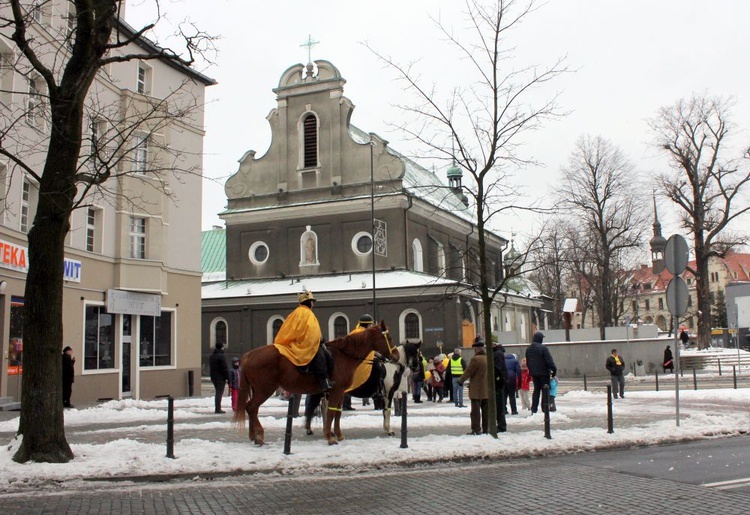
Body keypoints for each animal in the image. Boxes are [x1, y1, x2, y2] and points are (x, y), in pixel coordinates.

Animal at [234, 320, 400, 446]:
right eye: (389, 337)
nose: (396, 355)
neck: (343, 356)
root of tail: (249, 355)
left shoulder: (340, 392)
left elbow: (337, 413)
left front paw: (339, 434)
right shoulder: (336, 391)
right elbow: (331, 413)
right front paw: (330, 437)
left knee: (251, 408)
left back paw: (253, 435)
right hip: (265, 389)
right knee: (251, 407)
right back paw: (259, 435)